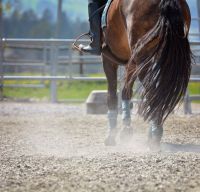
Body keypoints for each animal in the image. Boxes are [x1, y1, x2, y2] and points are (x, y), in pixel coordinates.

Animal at [101, 0, 192, 150]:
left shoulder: (109, 59)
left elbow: (112, 94)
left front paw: (111, 135)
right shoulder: (131, 62)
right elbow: (126, 91)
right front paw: (126, 130)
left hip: (142, 57)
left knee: (152, 91)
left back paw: (154, 135)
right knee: (157, 91)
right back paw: (153, 131)